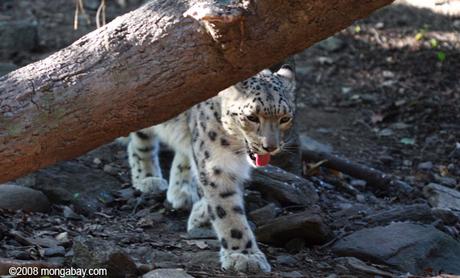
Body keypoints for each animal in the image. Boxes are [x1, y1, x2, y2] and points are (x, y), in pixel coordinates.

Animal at [128, 64, 294, 272]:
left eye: (285, 118)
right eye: (251, 117)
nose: (270, 147)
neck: (234, 147)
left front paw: (200, 215)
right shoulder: (216, 166)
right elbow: (228, 210)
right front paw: (244, 255)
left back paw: (181, 190)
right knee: (140, 142)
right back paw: (148, 178)